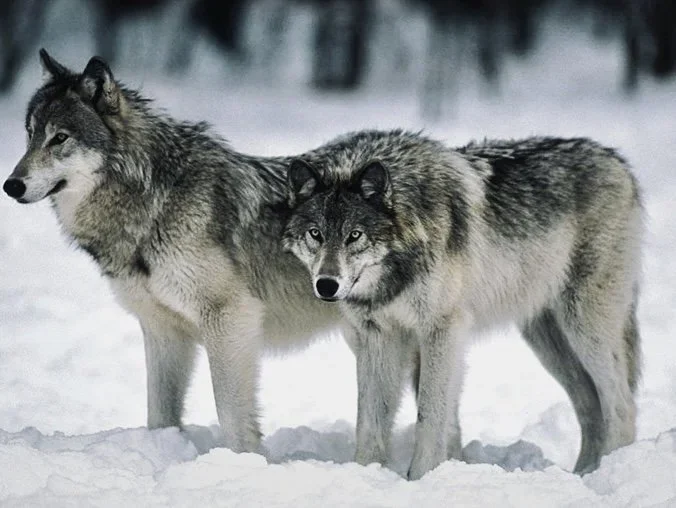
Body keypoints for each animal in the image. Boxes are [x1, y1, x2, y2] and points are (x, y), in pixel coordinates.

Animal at [2, 49, 349, 453]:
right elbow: (159, 414)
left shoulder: (230, 317)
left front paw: (244, 461)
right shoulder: (162, 329)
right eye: (30, 135)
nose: (11, 185)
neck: (154, 202)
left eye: (60, 138)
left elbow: (231, 414)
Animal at [282, 130, 643, 480]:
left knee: (621, 405)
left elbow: (430, 415)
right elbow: (369, 422)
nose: (326, 285)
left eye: (354, 235)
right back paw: (582, 472)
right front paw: (365, 474)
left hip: (584, 328)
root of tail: (617, 161)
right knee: (590, 405)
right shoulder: (377, 337)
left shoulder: (441, 330)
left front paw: (421, 478)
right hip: (547, 343)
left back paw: (604, 473)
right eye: (315, 234)